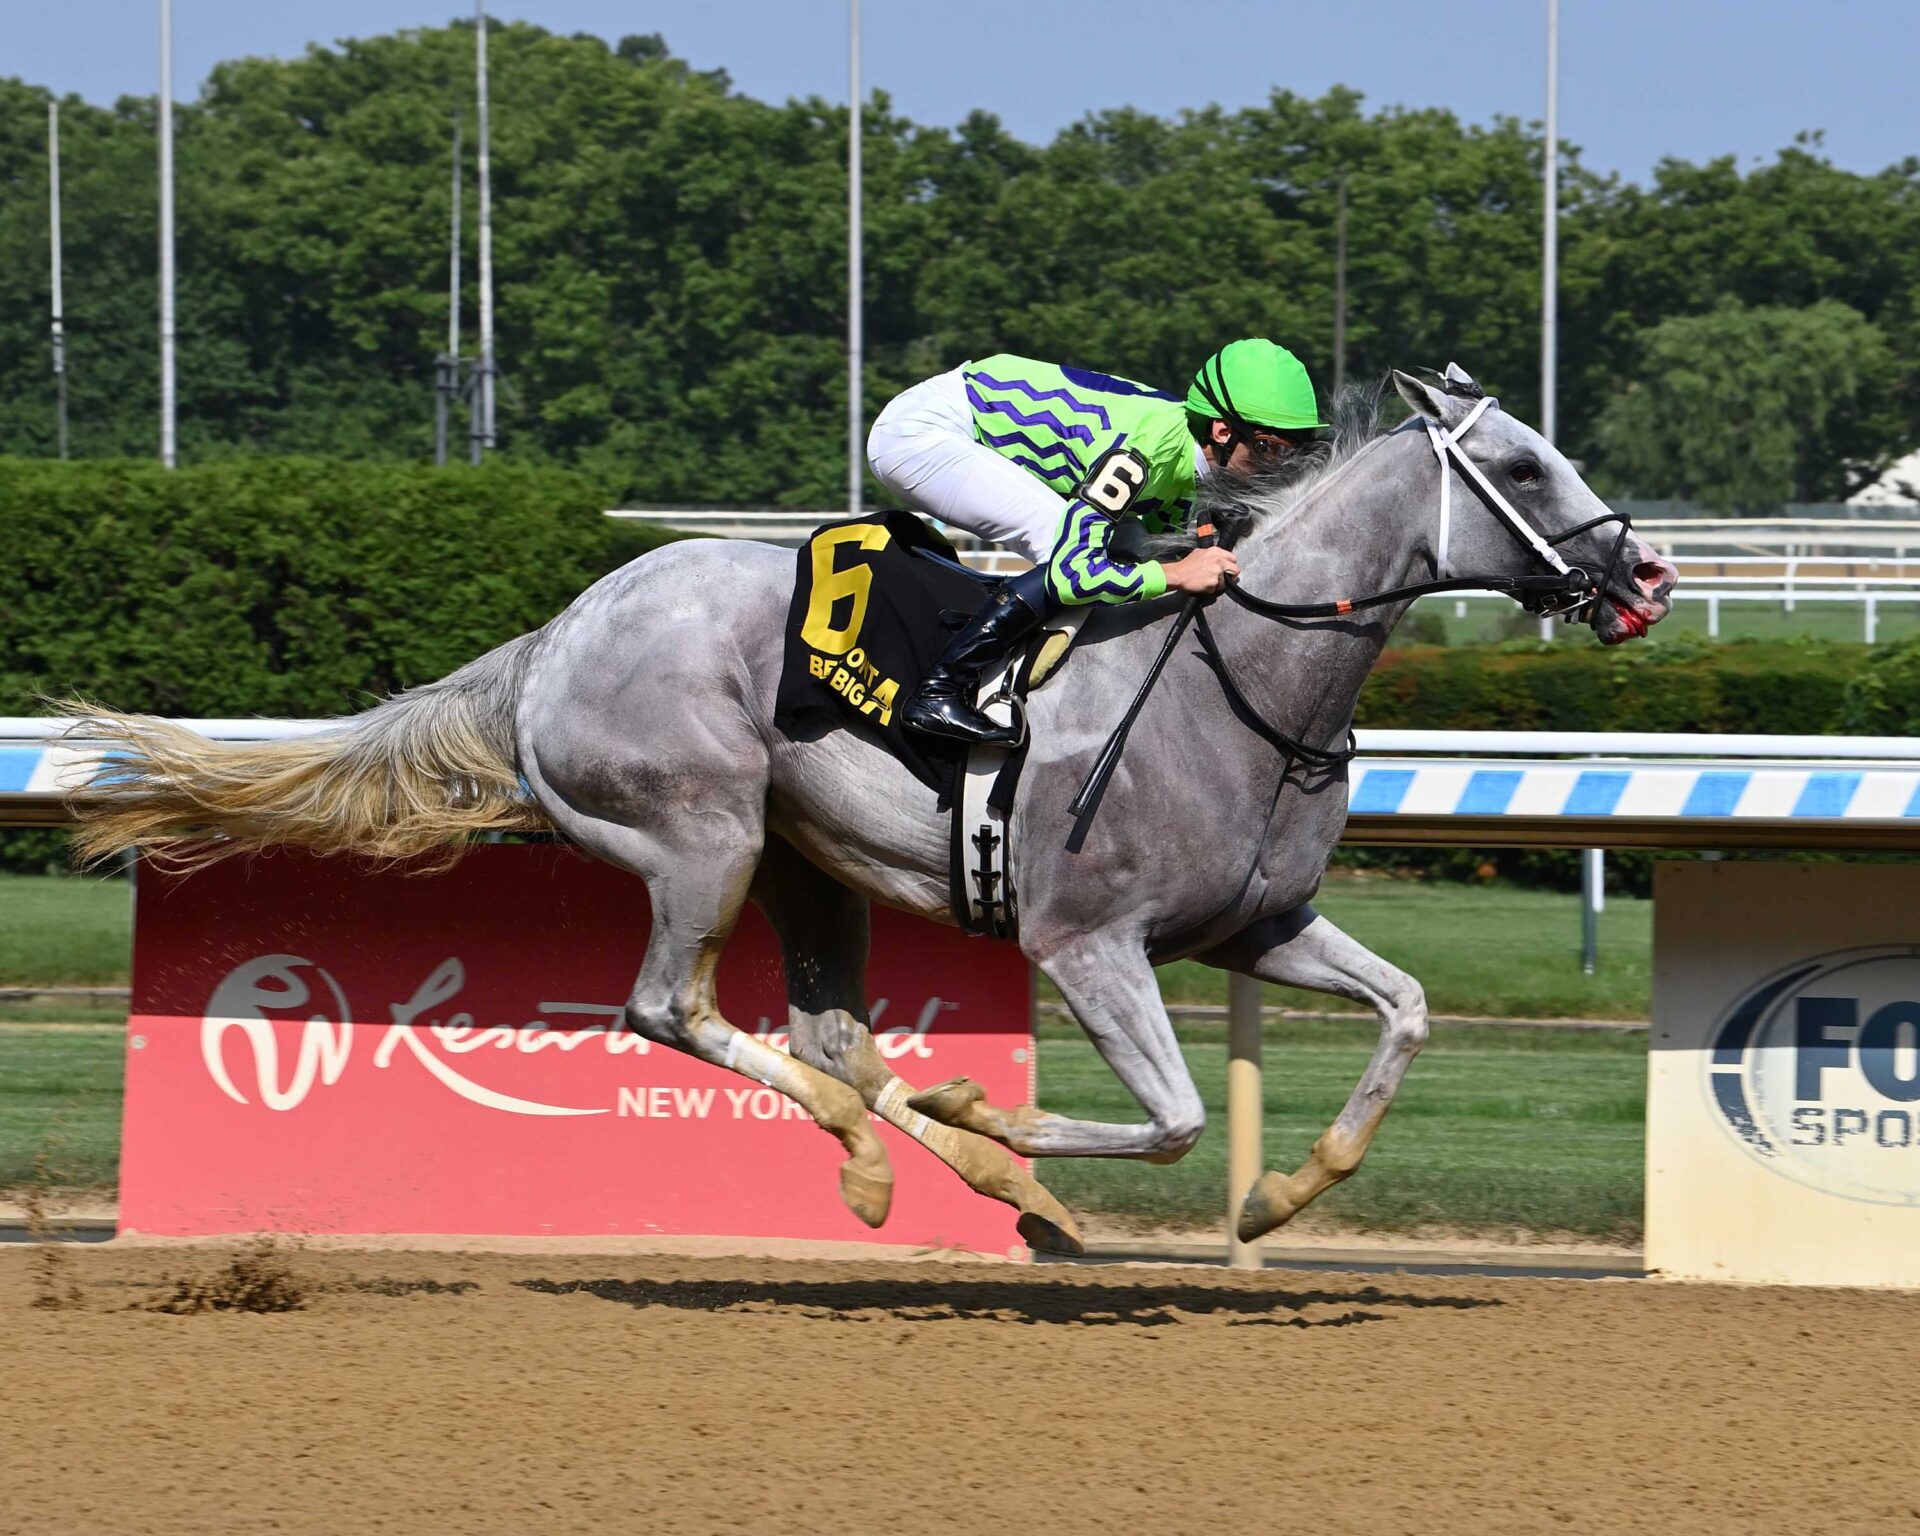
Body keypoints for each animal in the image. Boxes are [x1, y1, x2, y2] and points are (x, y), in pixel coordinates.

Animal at [65, 369, 1677, 1255]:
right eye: (1522, 465)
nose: (1647, 576)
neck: (1245, 678)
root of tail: (559, 632)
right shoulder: (1089, 942)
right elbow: (1168, 1118)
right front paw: (992, 1110)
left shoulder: (1258, 927)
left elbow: (1403, 1010)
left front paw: (1280, 1199)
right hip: (699, 836)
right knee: (675, 1010)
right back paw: (891, 1147)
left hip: (805, 865)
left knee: (830, 1033)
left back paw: (954, 1171)